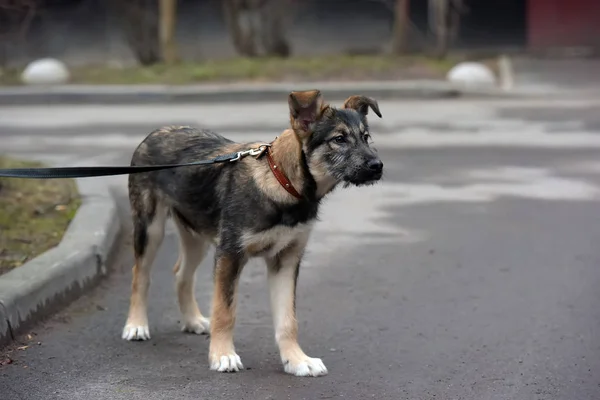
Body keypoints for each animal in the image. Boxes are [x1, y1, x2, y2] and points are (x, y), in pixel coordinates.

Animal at [122, 89, 384, 376]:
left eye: (366, 137)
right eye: (338, 139)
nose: (378, 166)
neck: (283, 182)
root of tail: (156, 132)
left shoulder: (286, 260)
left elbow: (288, 319)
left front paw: (296, 360)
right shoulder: (230, 255)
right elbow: (225, 311)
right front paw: (223, 355)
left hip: (197, 237)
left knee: (181, 274)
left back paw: (192, 320)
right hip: (151, 228)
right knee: (140, 274)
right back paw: (136, 325)